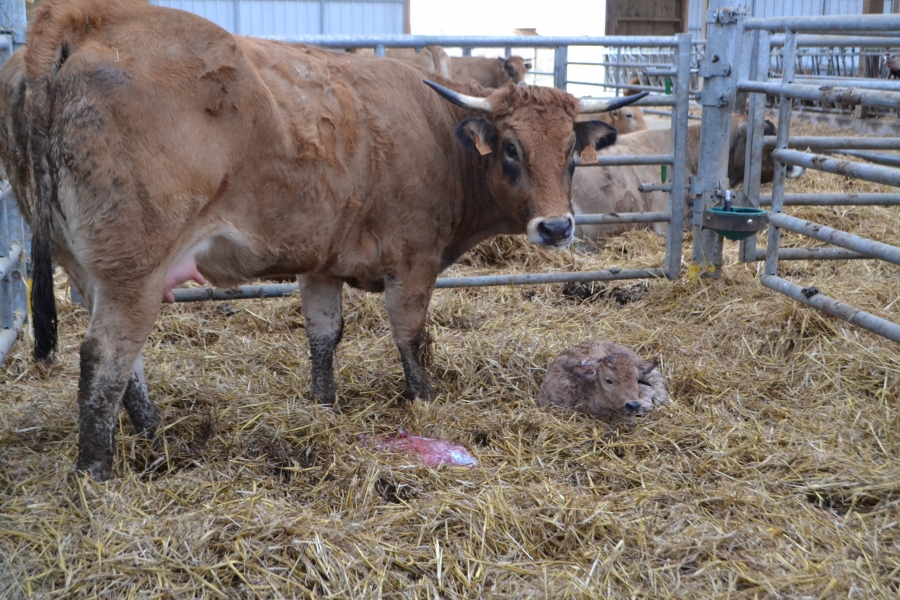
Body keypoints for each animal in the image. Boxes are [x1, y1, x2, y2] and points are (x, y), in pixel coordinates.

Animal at [14, 0, 644, 478]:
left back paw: (153, 433)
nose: (556, 227)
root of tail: (81, 15)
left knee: (129, 362)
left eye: (571, 151)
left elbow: (324, 336)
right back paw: (97, 470)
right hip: (133, 270)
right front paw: (424, 401)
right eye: (511, 148)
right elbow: (411, 338)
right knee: (105, 359)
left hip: (91, 270)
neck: (436, 132)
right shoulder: (413, 263)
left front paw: (323, 405)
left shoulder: (319, 262)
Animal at [536, 342, 668, 422]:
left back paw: (660, 397)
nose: (633, 405)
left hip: (635, 358)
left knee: (655, 375)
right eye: (608, 380)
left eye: (635, 378)